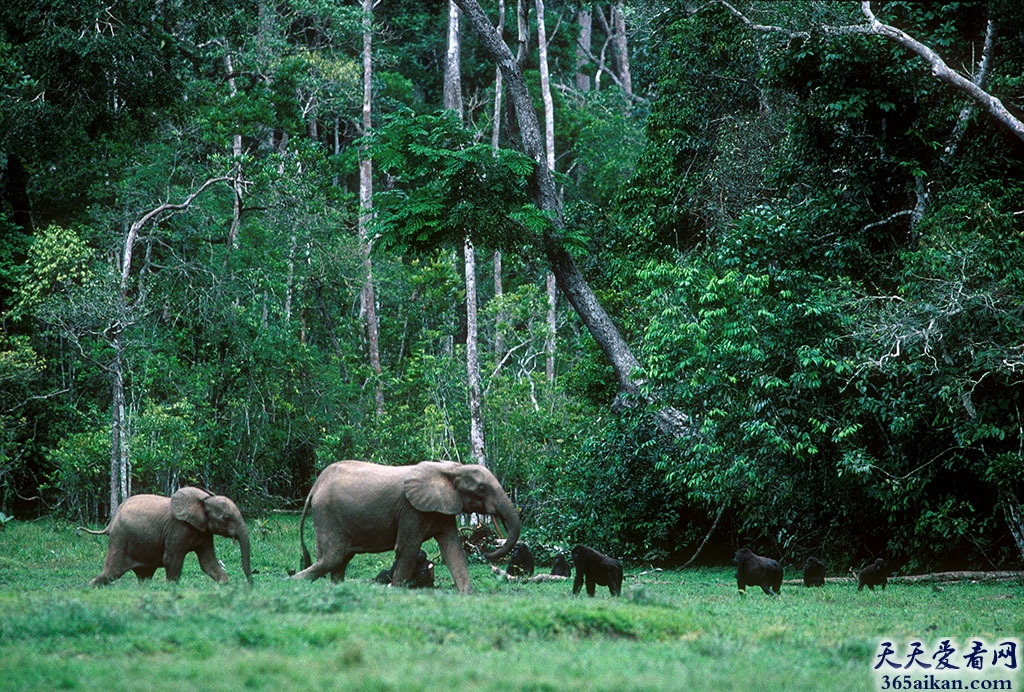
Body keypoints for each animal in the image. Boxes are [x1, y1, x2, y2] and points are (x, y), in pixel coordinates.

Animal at [78, 487, 252, 585]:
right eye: (226, 518)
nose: (251, 585)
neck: (204, 499)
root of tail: (111, 523)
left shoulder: (205, 532)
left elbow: (208, 563)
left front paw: (225, 585)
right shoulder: (177, 528)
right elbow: (172, 559)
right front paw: (172, 589)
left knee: (144, 576)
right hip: (120, 538)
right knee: (112, 573)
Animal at [294, 458, 520, 593]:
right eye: (481, 488)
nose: (487, 550)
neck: (451, 469)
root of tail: (315, 487)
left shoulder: (442, 507)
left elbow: (452, 549)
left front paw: (467, 594)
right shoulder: (411, 510)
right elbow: (408, 548)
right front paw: (395, 591)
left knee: (339, 561)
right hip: (327, 515)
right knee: (332, 558)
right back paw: (293, 584)